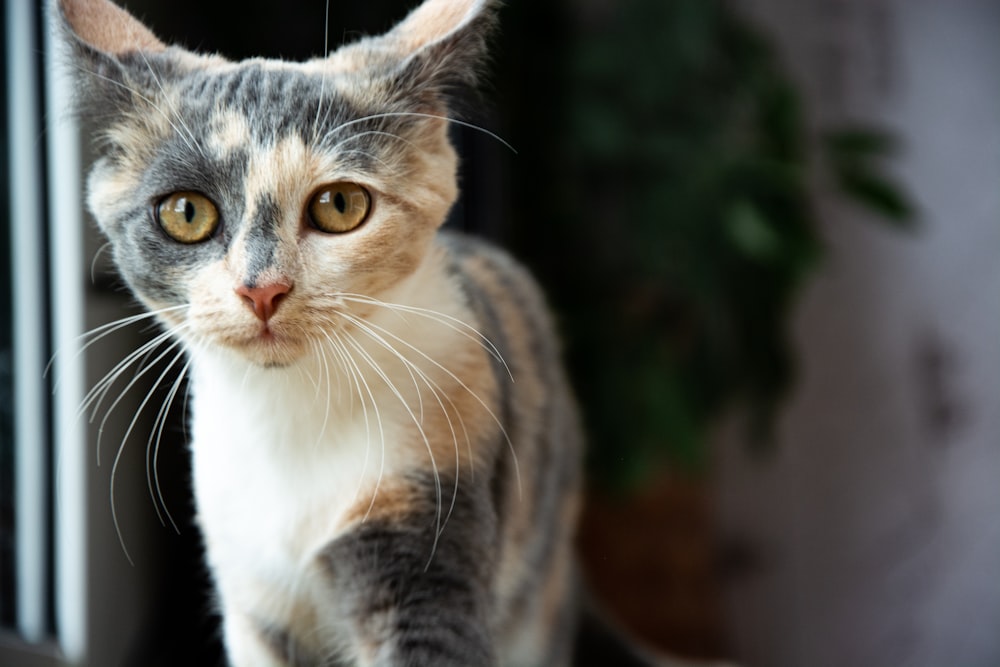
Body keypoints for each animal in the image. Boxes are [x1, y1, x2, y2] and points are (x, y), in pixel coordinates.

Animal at [60, 0, 672, 664]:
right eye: (186, 212)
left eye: (340, 205)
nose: (261, 290)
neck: (292, 418)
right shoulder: (252, 596)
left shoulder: (428, 515)